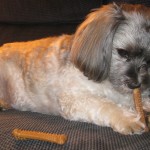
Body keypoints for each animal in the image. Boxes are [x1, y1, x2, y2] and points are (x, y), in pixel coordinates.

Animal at [0, 3, 150, 135]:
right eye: (123, 52)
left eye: (148, 60)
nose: (136, 84)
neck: (109, 84)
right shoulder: (74, 99)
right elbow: (107, 105)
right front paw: (128, 119)